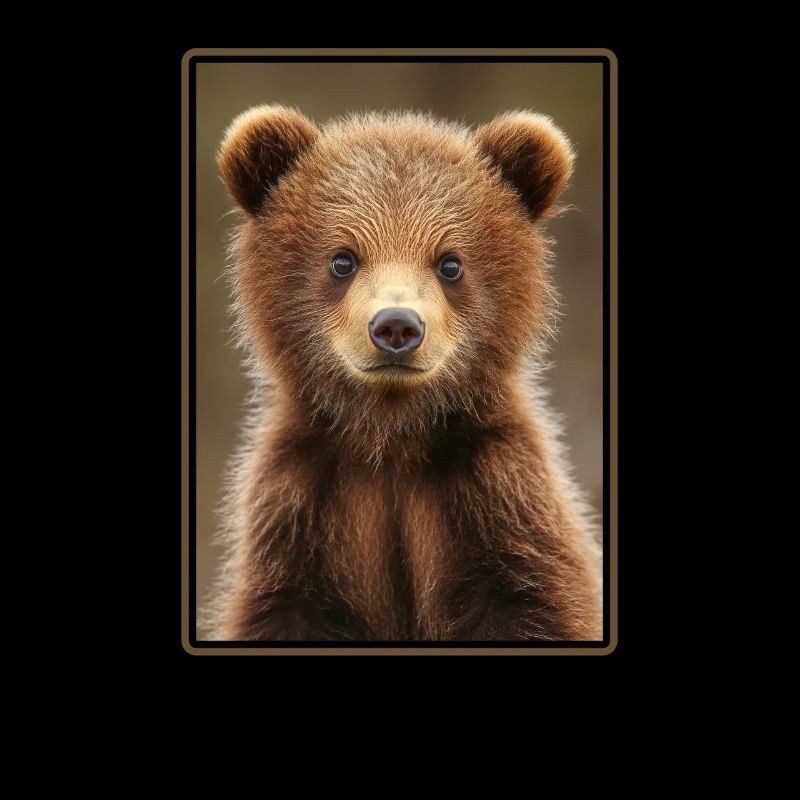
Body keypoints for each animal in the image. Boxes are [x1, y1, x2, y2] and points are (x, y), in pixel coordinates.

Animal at [205, 105, 602, 641]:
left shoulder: (500, 498)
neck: (392, 437)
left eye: (450, 263)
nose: (396, 326)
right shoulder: (298, 510)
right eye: (343, 259)